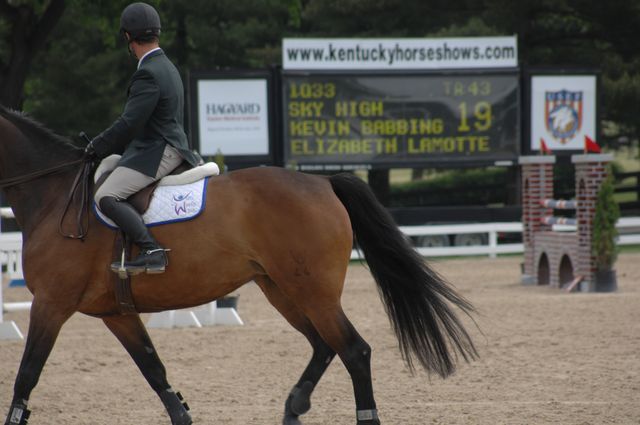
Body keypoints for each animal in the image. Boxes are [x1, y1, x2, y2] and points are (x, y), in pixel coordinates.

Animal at [0, 105, 477, 425]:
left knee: (353, 350)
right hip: (281, 289)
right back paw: (293, 408)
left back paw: (359, 414)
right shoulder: (115, 313)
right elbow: (153, 369)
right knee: (323, 346)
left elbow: (26, 374)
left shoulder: (52, 304)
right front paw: (183, 416)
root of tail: (323, 182)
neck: (54, 197)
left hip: (313, 292)